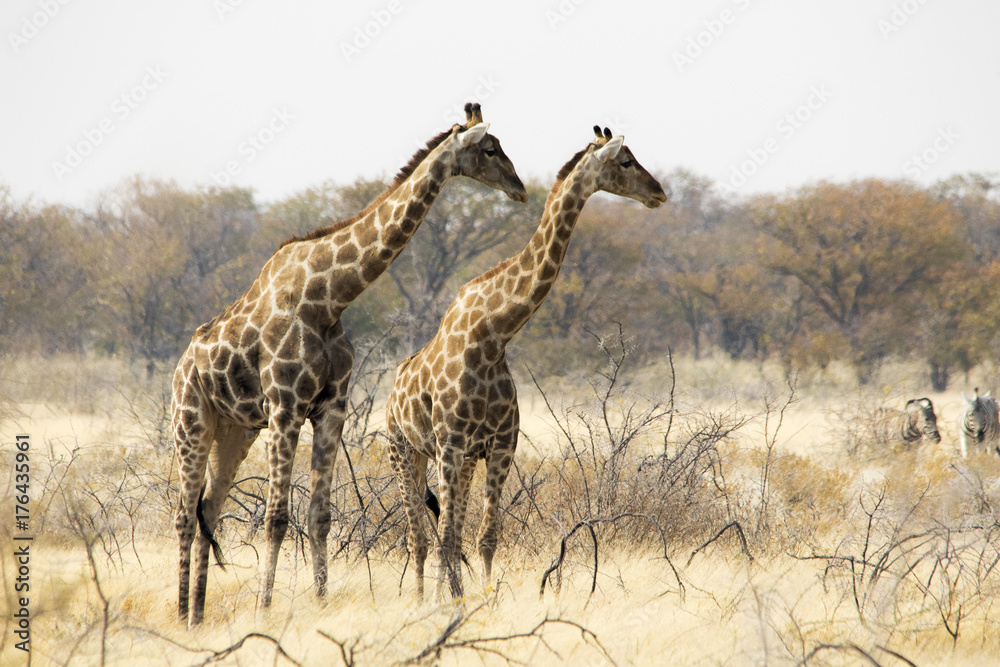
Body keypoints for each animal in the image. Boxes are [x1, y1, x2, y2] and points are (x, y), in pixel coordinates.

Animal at [171, 104, 526, 626]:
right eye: (489, 149)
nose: (520, 188)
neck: (328, 297)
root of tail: (180, 369)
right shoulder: (286, 407)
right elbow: (277, 517)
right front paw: (265, 608)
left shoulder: (330, 406)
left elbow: (319, 515)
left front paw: (319, 601)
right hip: (191, 422)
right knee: (183, 513)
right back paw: (181, 613)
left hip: (234, 430)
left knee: (209, 511)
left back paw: (197, 614)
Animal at [385, 126, 668, 600]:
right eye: (626, 161)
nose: (659, 193)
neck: (493, 336)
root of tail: (390, 393)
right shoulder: (451, 445)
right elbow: (448, 536)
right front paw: (451, 603)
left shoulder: (499, 445)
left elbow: (485, 536)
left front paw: (481, 599)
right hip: (404, 450)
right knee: (419, 537)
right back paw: (423, 600)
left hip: (456, 459)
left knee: (447, 529)